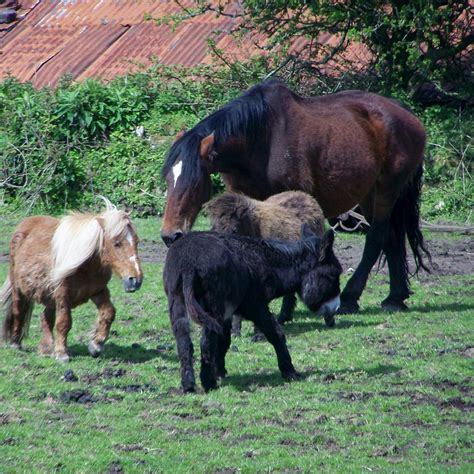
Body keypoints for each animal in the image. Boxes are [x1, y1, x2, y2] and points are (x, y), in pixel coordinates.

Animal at [1, 198, 143, 362]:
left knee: (45, 318)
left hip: (49, 296)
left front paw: (96, 346)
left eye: (136, 242)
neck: (86, 265)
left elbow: (109, 313)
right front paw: (62, 353)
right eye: (116, 243)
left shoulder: (99, 291)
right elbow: (64, 322)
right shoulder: (63, 295)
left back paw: (47, 348)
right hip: (19, 289)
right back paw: (16, 343)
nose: (135, 280)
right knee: (18, 311)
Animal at [161, 79, 432, 312]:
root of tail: (405, 114)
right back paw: (395, 298)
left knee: (377, 237)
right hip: (369, 194)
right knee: (391, 238)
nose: (170, 235)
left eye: (195, 182)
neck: (261, 139)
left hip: (388, 189)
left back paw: (350, 297)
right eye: (169, 179)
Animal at [163, 226, 340, 392]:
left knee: (184, 343)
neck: (266, 263)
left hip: (177, 302)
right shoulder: (255, 306)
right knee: (206, 343)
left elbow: (224, 341)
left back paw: (189, 385)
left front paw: (220, 371)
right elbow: (276, 334)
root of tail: (188, 263)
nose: (336, 308)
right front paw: (290, 372)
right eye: (333, 275)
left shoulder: (228, 312)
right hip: (211, 307)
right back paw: (208, 383)